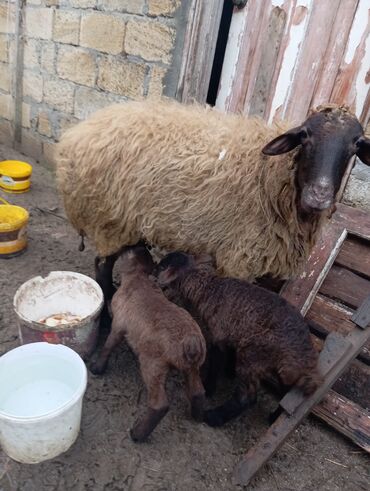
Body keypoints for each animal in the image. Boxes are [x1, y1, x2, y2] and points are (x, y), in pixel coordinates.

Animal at [55, 98, 370, 294]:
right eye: (304, 136)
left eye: (356, 144)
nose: (319, 195)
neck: (272, 175)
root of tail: (76, 134)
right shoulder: (240, 256)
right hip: (108, 219)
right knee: (102, 265)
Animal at [89, 248, 205, 444]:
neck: (138, 278)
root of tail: (191, 344)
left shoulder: (119, 325)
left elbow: (108, 346)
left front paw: (97, 368)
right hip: (192, 368)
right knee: (198, 392)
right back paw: (197, 416)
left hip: (153, 364)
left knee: (160, 404)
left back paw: (137, 434)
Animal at [155, 254, 322, 426]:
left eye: (161, 267)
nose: (154, 278)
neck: (208, 289)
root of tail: (306, 354)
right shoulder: (232, 334)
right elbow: (229, 355)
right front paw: (229, 372)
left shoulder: (218, 335)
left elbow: (216, 364)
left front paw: (209, 388)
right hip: (281, 369)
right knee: (286, 394)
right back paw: (273, 418)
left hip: (254, 355)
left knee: (248, 397)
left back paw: (214, 417)